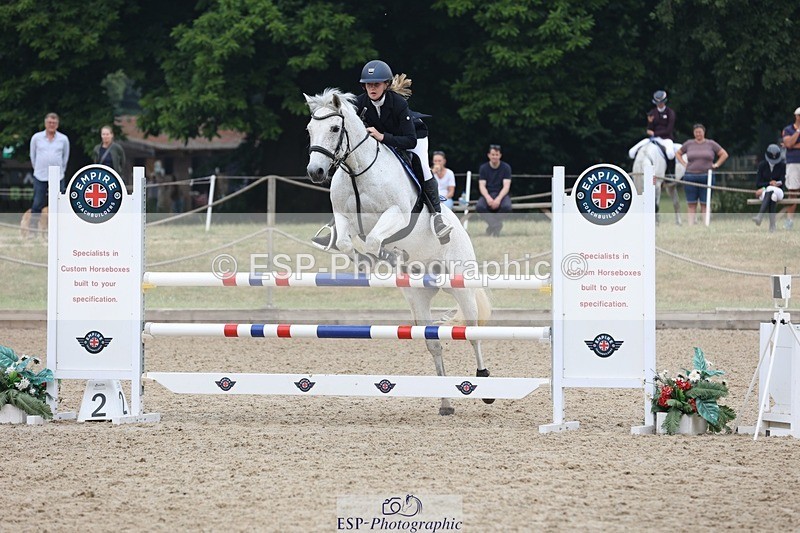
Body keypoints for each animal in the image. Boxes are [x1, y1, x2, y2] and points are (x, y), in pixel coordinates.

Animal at [304, 88, 492, 416]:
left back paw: (484, 382)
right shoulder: (344, 217)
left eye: (335, 128)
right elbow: (347, 242)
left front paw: (380, 255)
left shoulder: (397, 215)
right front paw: (365, 261)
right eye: (309, 130)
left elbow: (374, 239)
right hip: (419, 297)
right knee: (434, 343)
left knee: (472, 333)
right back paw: (445, 402)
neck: (357, 172)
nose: (315, 171)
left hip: (462, 286)